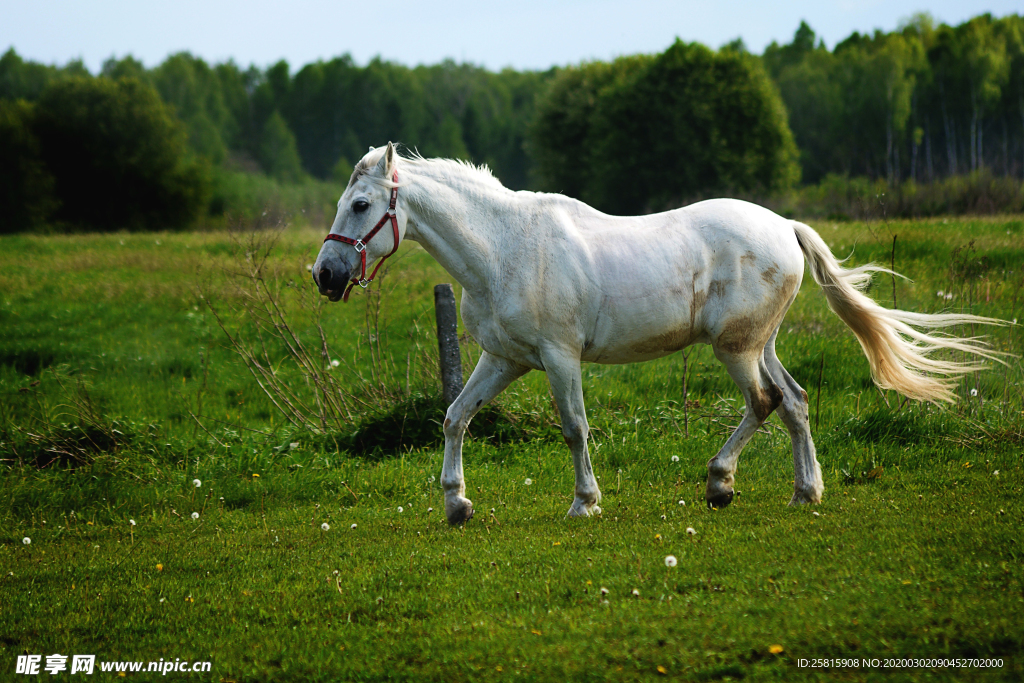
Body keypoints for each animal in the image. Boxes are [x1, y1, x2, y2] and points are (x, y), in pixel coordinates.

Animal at [311, 141, 999, 520]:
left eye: (363, 205)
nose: (325, 275)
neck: (505, 248)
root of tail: (785, 226)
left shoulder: (560, 358)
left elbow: (574, 428)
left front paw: (584, 503)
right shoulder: (504, 359)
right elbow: (456, 417)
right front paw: (457, 504)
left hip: (735, 348)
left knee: (765, 401)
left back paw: (720, 484)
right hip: (759, 343)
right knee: (795, 402)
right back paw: (806, 492)